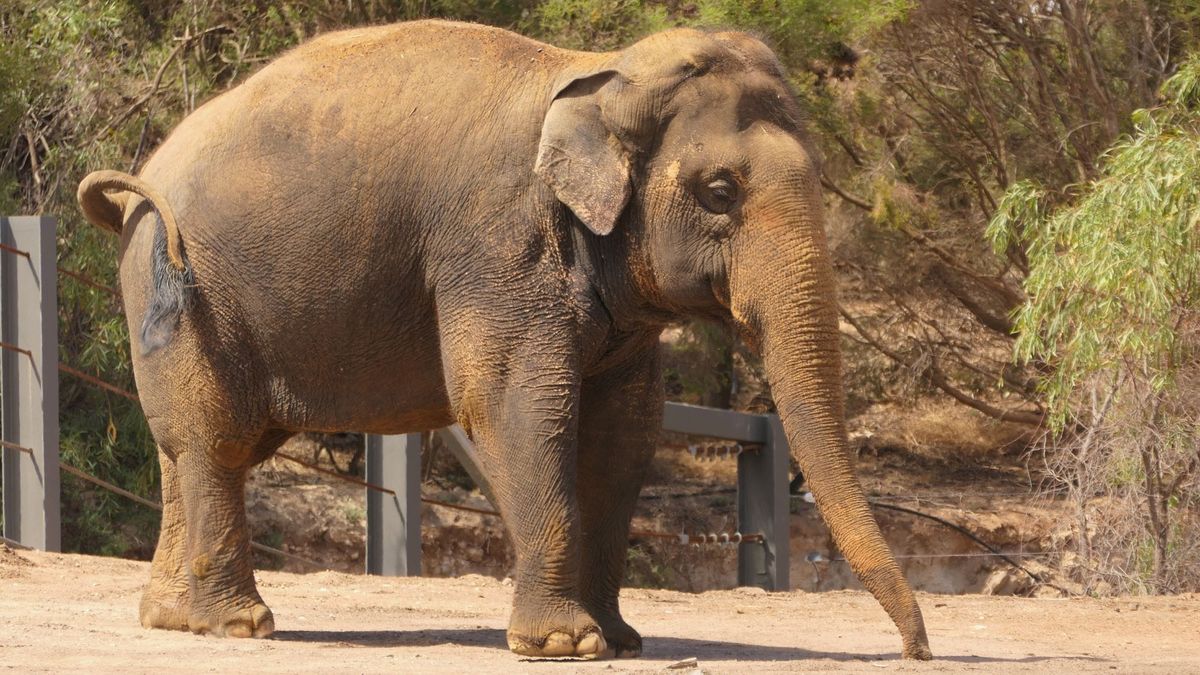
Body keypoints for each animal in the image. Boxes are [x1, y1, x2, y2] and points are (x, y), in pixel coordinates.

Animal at [77, 20, 931, 661]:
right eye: (719, 191)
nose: (917, 649)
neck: (597, 76)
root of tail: (137, 182)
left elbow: (626, 429)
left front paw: (620, 639)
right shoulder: (495, 245)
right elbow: (518, 402)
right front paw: (564, 644)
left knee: (187, 447)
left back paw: (173, 618)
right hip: (189, 295)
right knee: (217, 443)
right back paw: (240, 624)